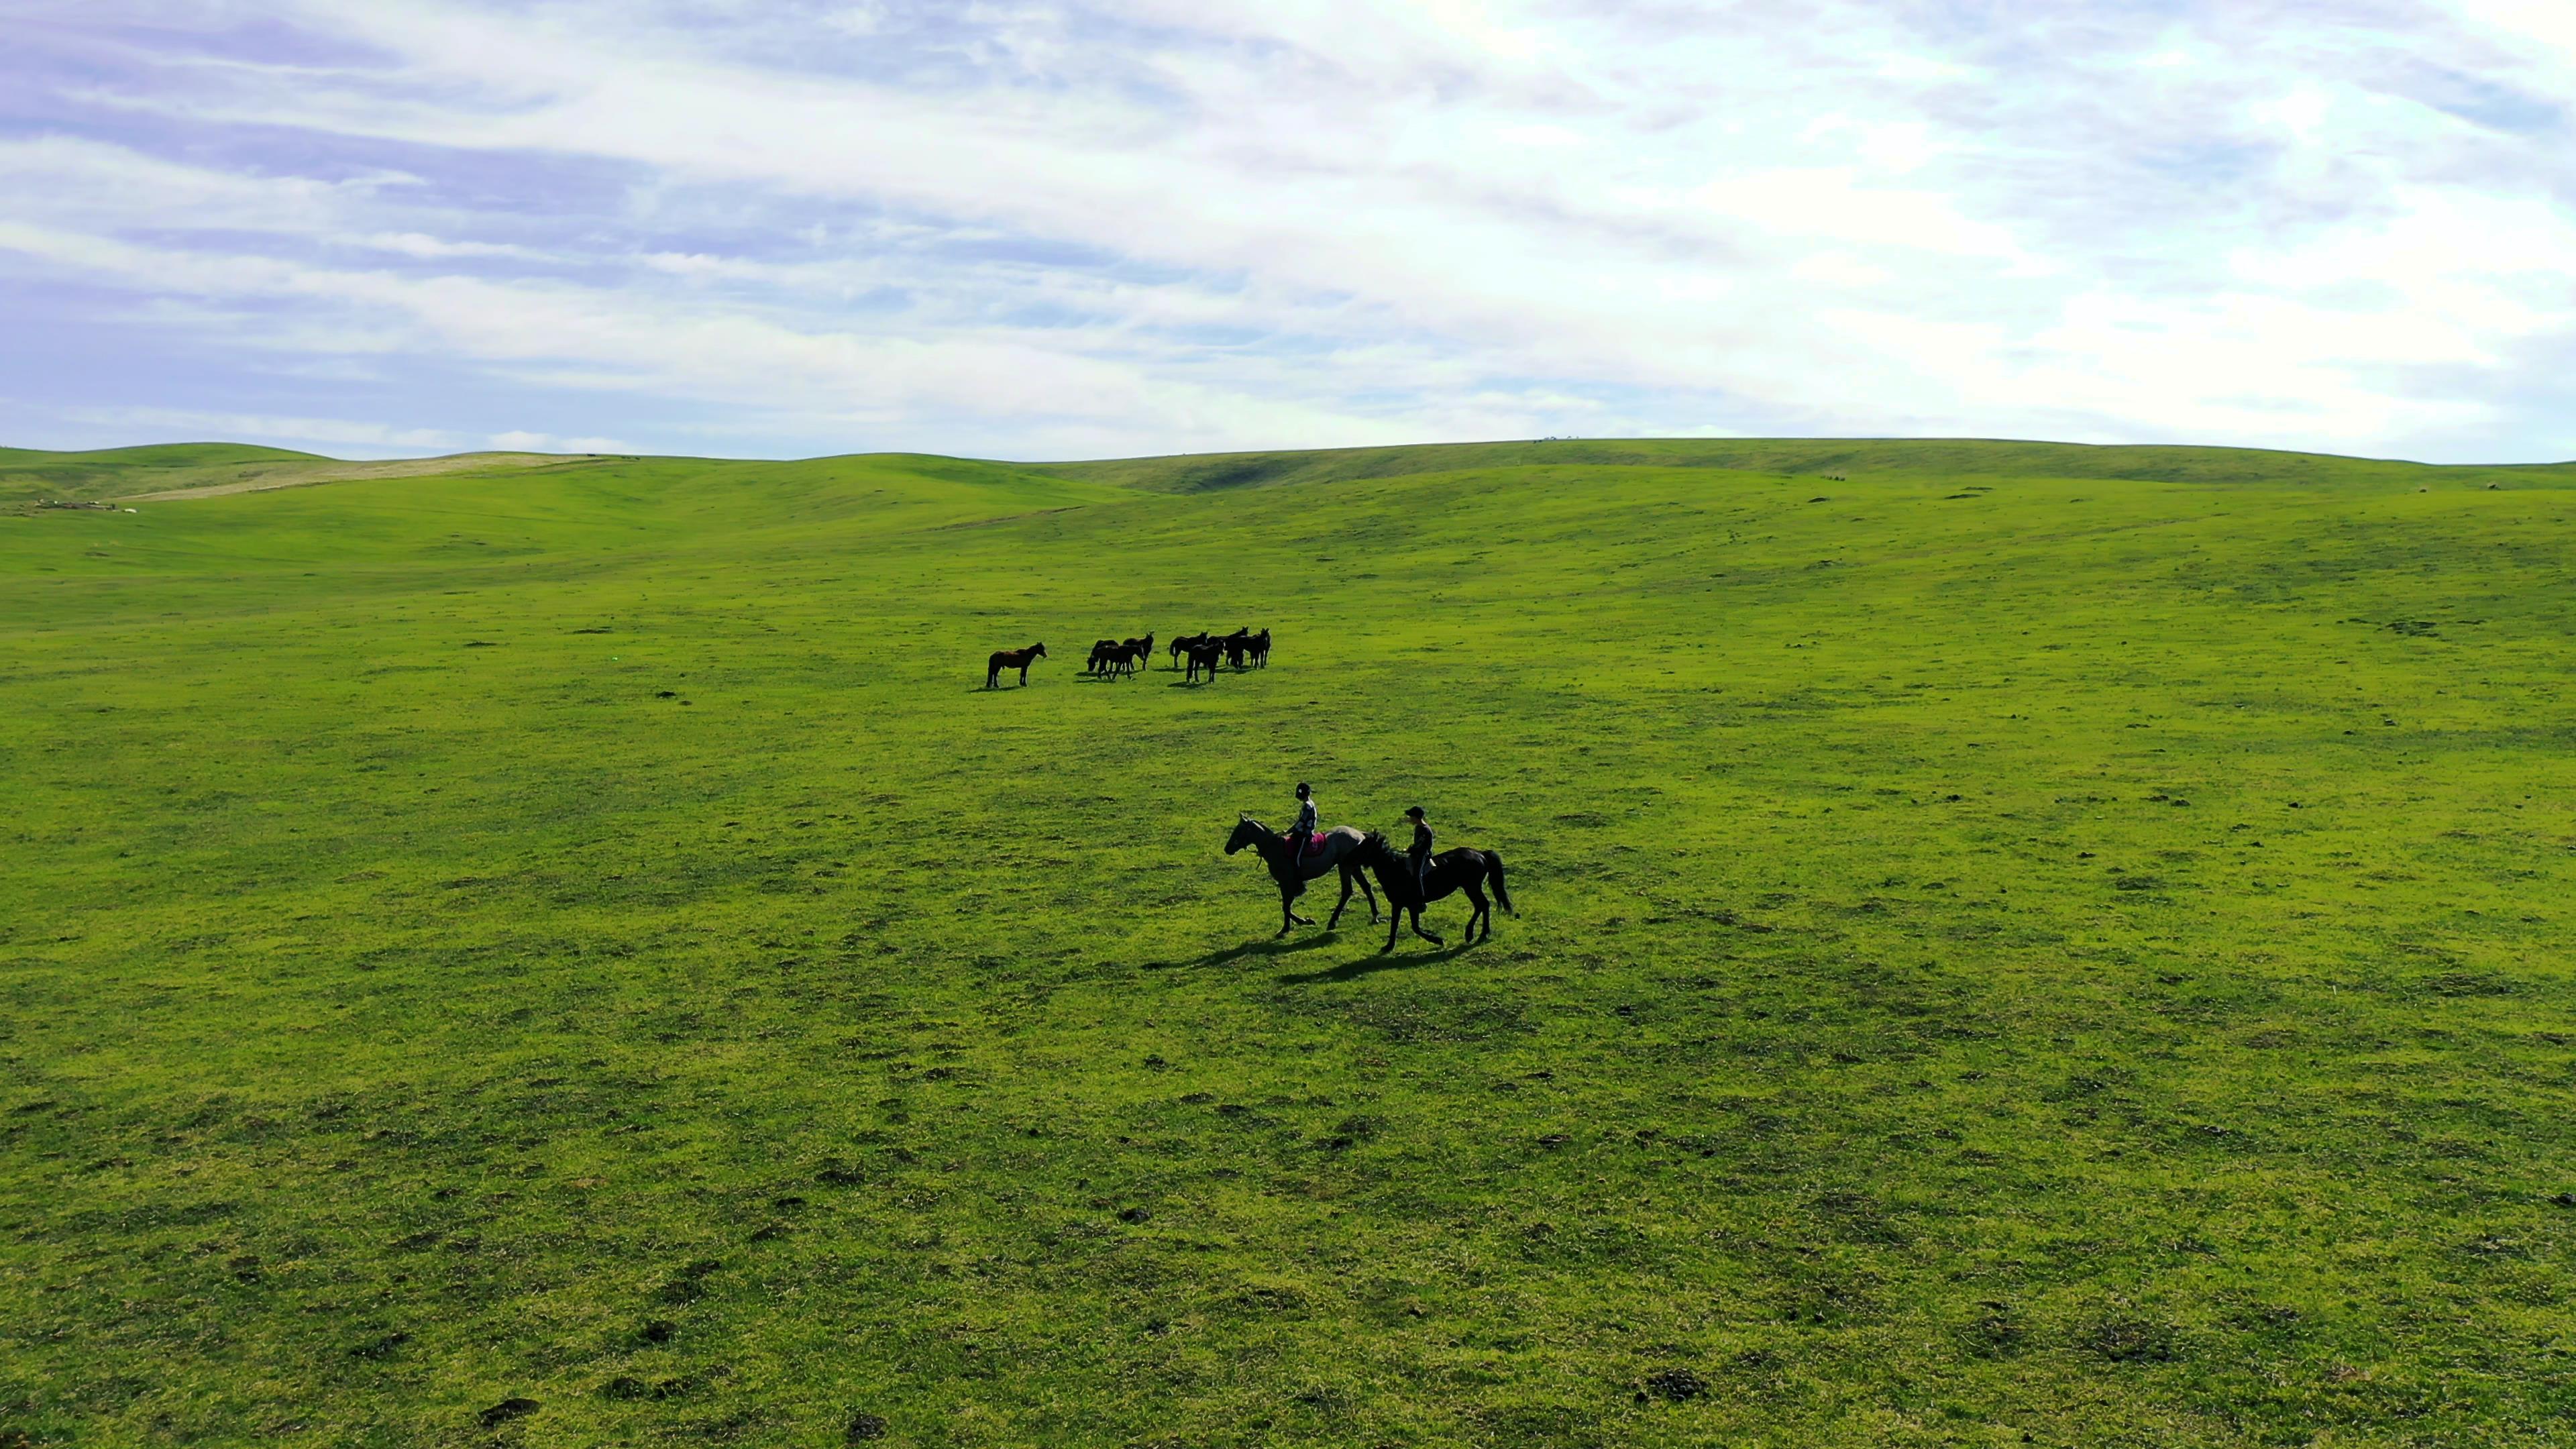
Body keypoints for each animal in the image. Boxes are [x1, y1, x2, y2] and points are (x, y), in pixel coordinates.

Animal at [1221, 814, 1381, 938]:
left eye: (1239, 831)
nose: (1227, 849)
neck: (1275, 848)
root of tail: (1359, 834)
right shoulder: (1286, 884)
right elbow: (1286, 906)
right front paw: (1292, 926)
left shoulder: (1287, 882)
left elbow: (1286, 907)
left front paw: (1298, 924)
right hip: (1353, 867)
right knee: (1366, 887)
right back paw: (1374, 916)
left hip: (1345, 867)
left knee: (1347, 891)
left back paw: (1333, 922)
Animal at [1350, 824, 1504, 949]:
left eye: (1363, 847)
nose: (1347, 858)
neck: (1396, 870)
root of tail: (1481, 854)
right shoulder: (1399, 905)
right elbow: (1396, 925)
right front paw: (1389, 947)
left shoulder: (1410, 905)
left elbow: (1414, 928)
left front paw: (1438, 940)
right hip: (1471, 888)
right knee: (1481, 906)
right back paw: (1472, 934)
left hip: (1472, 887)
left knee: (1483, 905)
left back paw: (1479, 934)